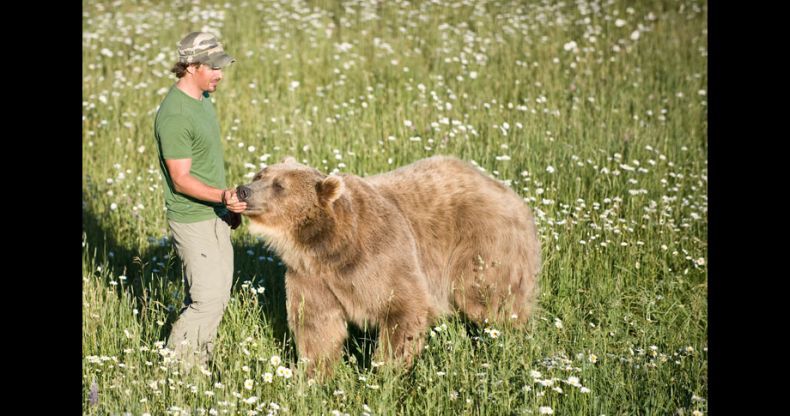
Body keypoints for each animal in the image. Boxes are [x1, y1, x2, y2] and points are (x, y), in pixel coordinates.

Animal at [238, 154, 540, 376]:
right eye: (260, 175)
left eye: (279, 186)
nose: (243, 191)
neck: (327, 247)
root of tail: (510, 193)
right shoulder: (310, 277)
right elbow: (316, 326)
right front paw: (314, 375)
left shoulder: (379, 256)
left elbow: (402, 308)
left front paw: (385, 372)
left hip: (482, 245)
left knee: (489, 298)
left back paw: (514, 336)